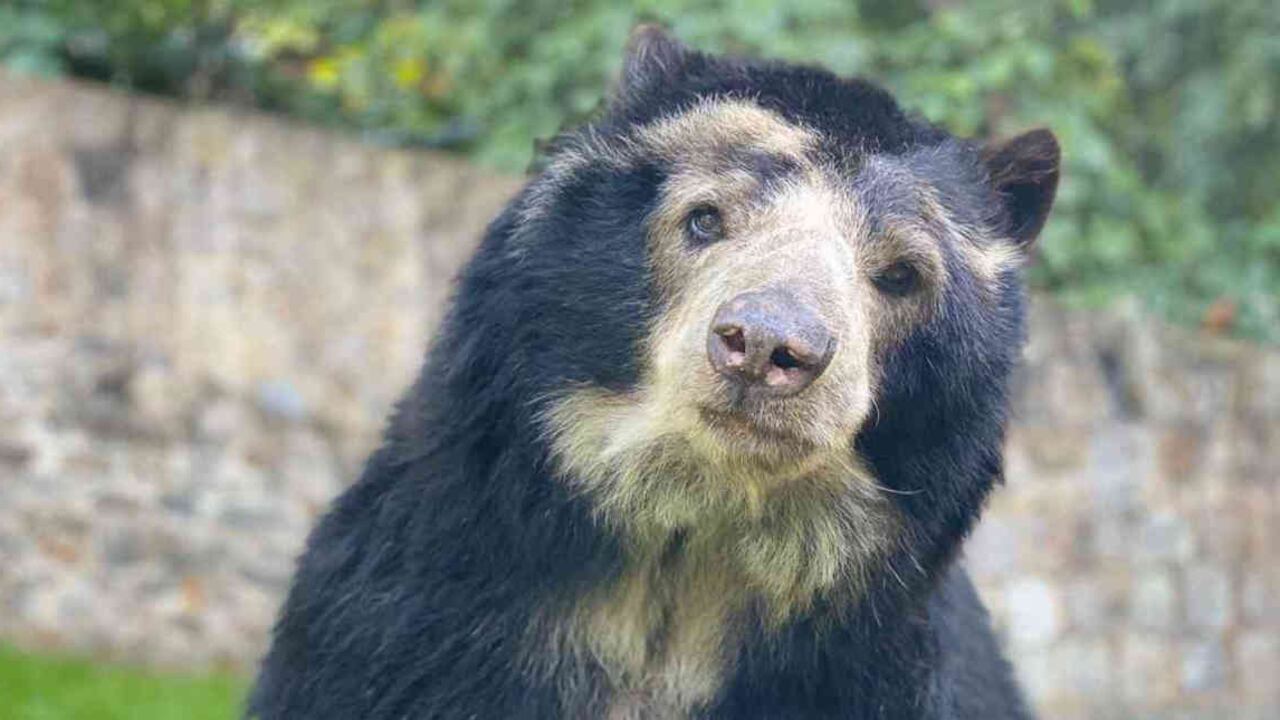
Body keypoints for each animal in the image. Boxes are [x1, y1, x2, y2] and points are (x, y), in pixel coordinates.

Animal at [248, 25, 1059, 720]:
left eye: (900, 275)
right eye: (704, 218)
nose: (767, 346)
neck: (690, 542)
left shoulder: (870, 676)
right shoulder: (403, 621)